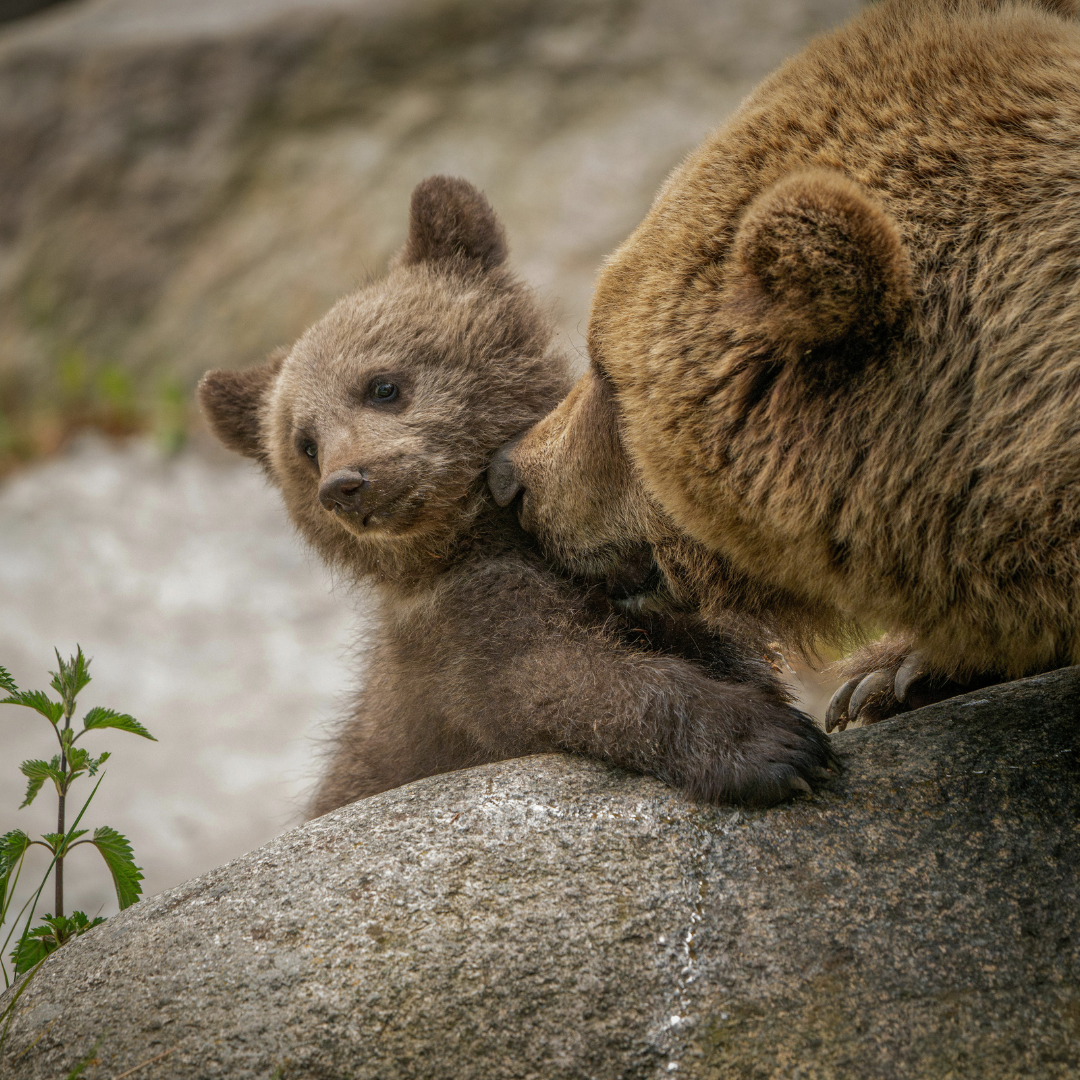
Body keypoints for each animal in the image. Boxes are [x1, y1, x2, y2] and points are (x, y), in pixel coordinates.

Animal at [197, 176, 835, 815]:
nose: (345, 484)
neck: (486, 536)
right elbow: (559, 681)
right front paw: (774, 745)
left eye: (382, 386)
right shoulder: (464, 635)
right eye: (304, 444)